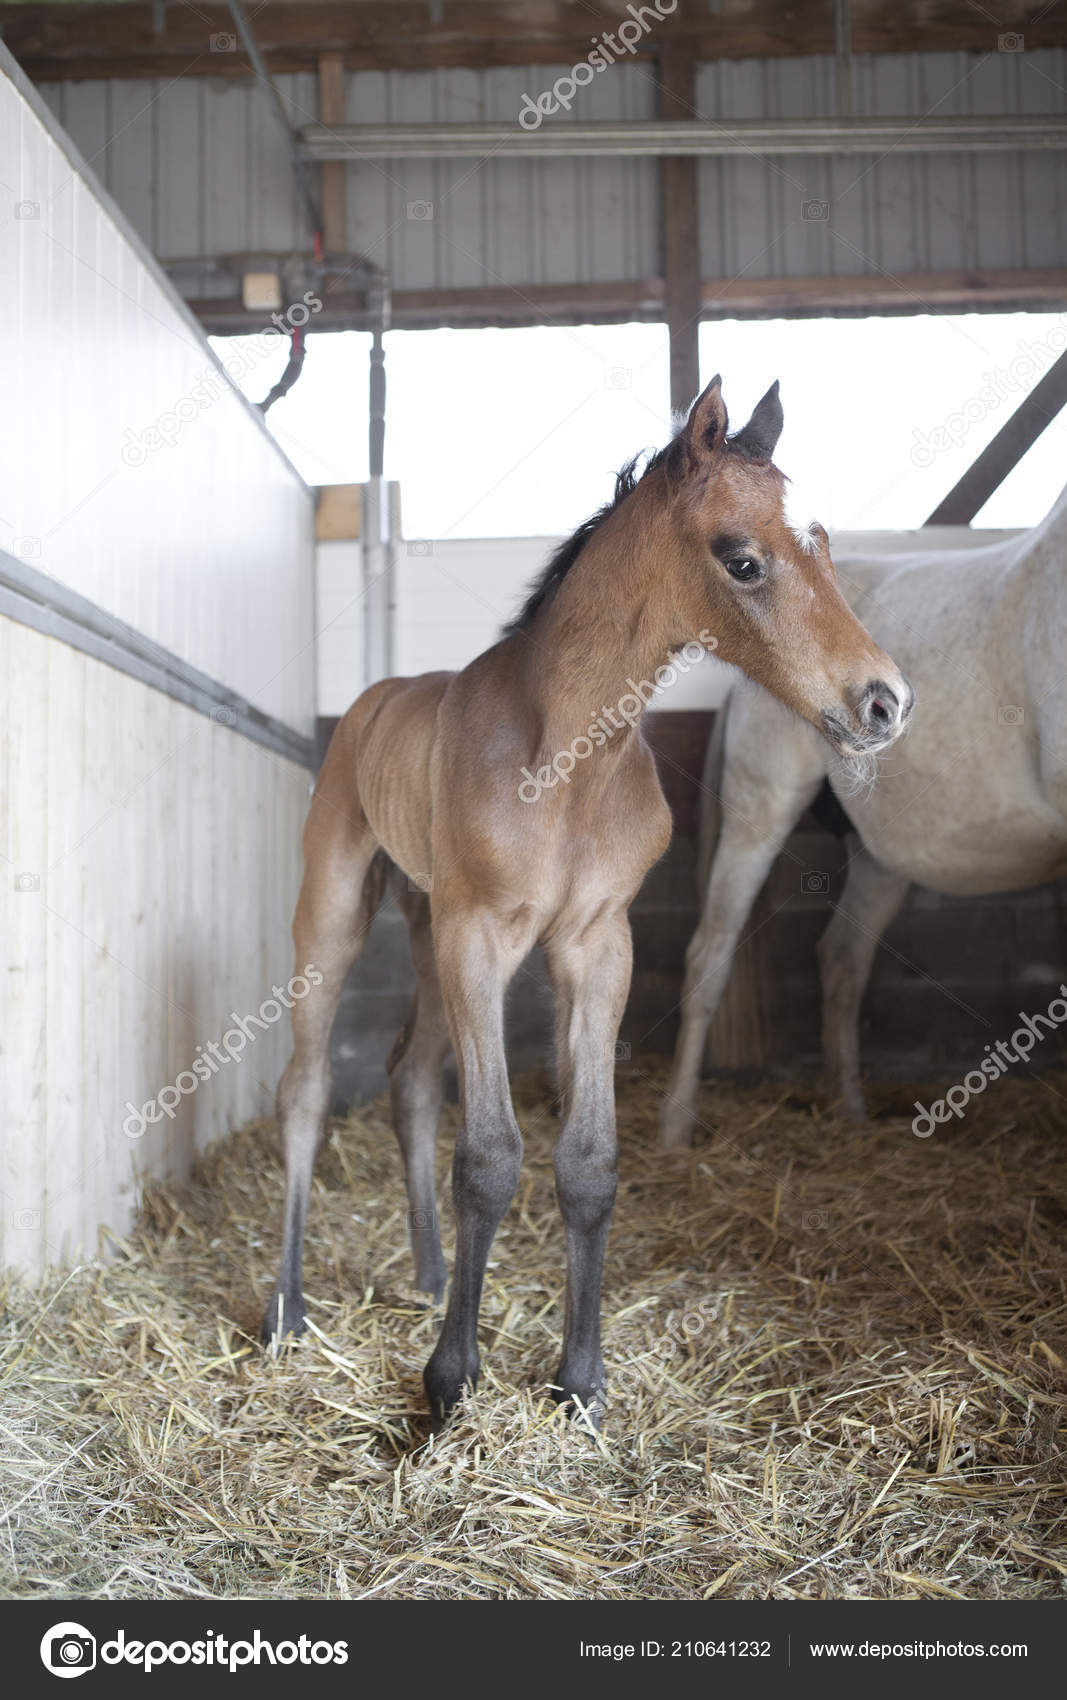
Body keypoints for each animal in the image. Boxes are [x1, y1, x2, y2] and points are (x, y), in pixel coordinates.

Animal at [262, 373, 913, 1423]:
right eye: (742, 559)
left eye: (818, 539)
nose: (884, 704)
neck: (566, 757)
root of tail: (372, 698)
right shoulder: (481, 936)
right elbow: (490, 1155)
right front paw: (451, 1381)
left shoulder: (596, 944)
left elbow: (588, 1160)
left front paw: (578, 1381)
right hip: (337, 908)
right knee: (307, 1088)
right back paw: (287, 1310)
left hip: (425, 925)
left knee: (410, 1078)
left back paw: (431, 1276)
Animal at [662, 480, 1067, 1147]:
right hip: (758, 818)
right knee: (708, 955)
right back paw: (675, 1127)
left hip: (881, 858)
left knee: (842, 960)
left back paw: (848, 1105)